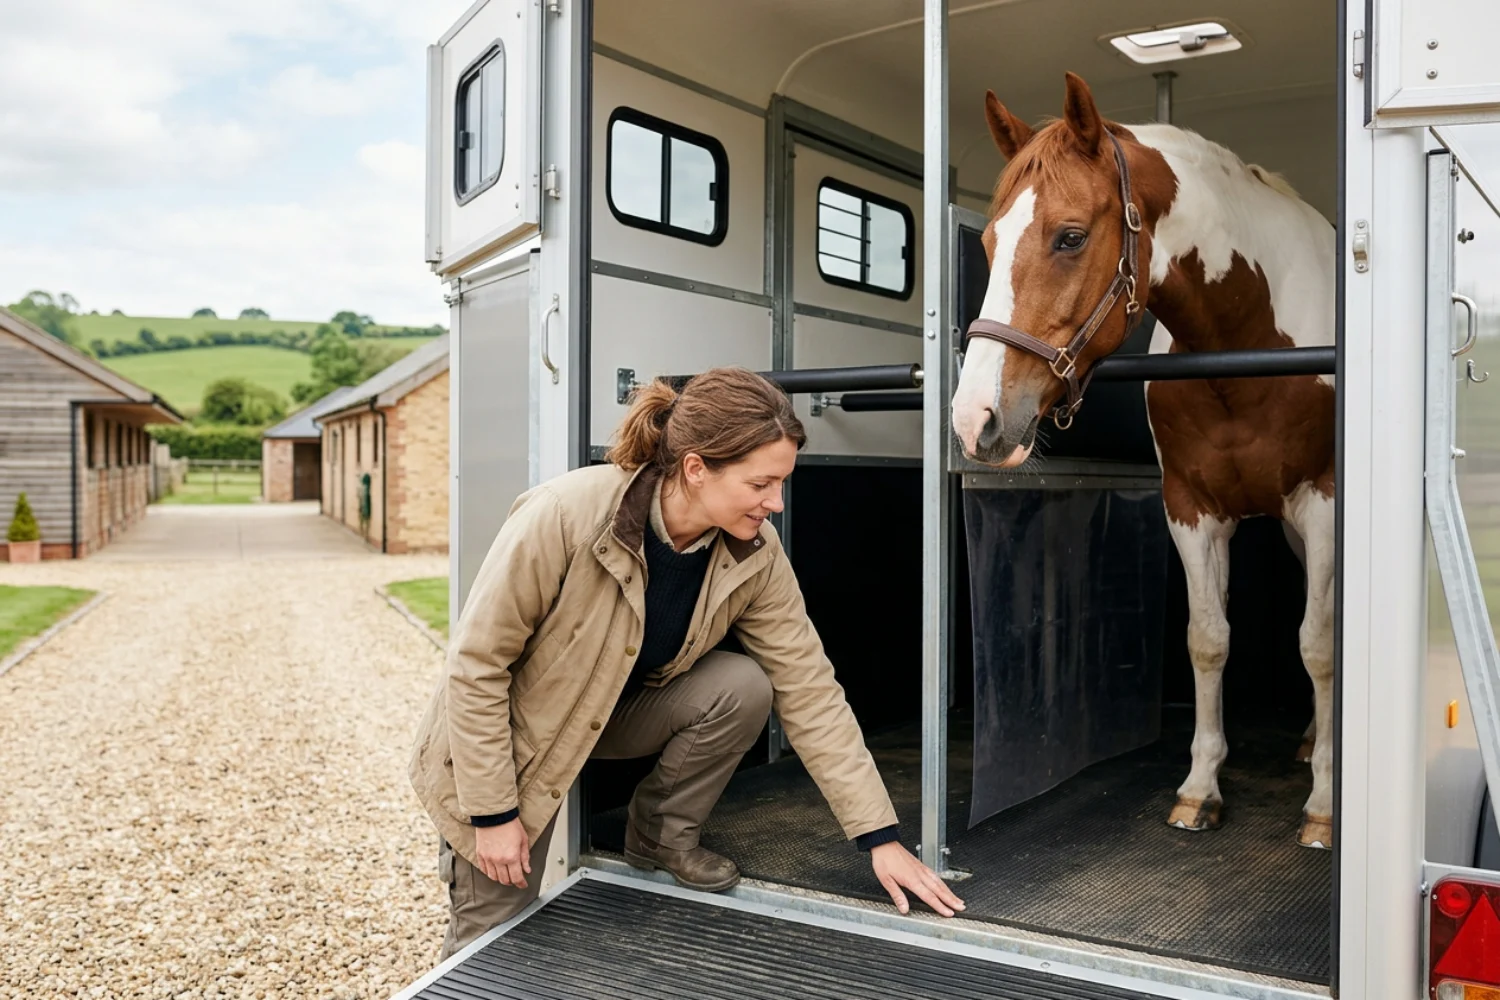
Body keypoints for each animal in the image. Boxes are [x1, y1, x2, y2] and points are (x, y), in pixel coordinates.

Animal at [950, 73, 1336, 849]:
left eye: (1070, 236)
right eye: (990, 239)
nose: (974, 420)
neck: (1246, 340)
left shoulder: (1324, 501)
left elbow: (1318, 645)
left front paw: (1325, 804)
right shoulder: (1190, 508)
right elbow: (1208, 640)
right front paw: (1200, 789)